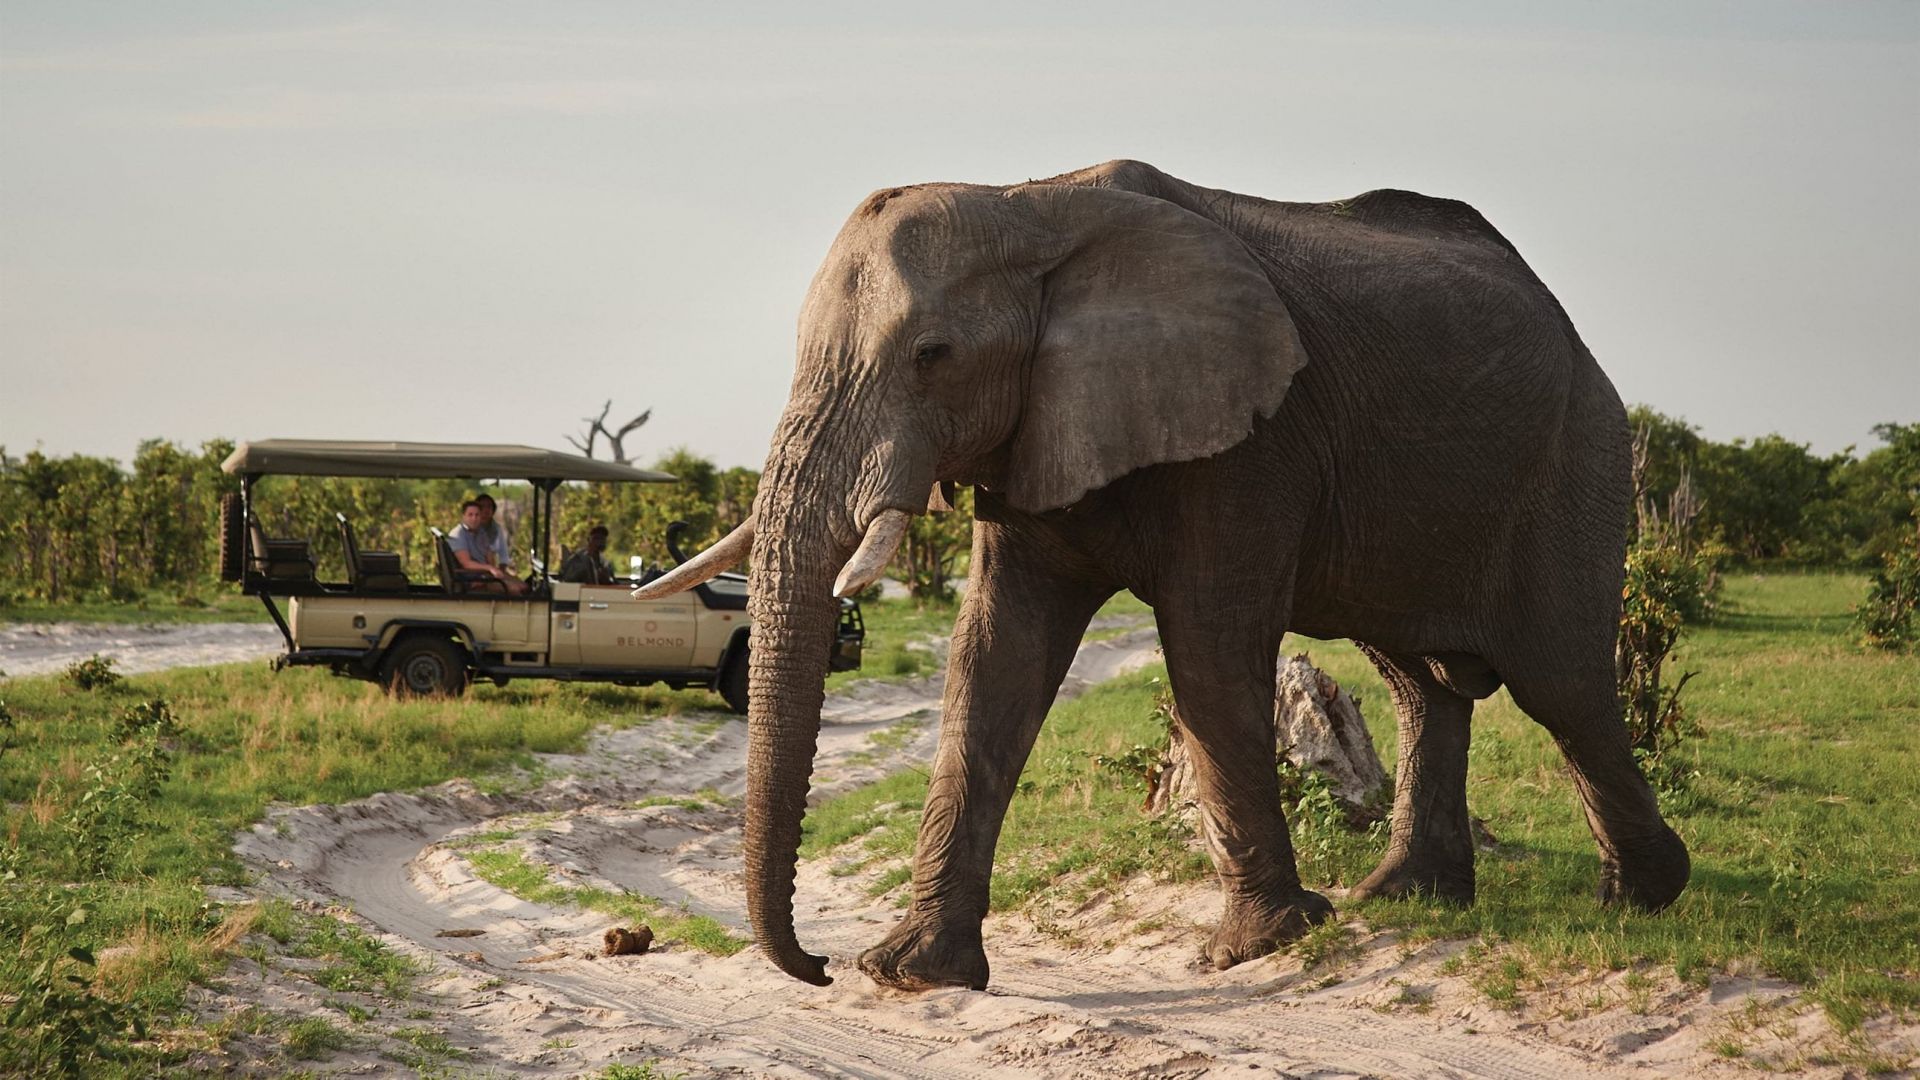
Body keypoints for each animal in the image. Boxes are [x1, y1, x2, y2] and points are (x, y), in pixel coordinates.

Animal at [638, 159, 1691, 991]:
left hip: (1582, 457)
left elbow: (1209, 649)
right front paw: (912, 973)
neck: (1029, 205)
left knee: (1562, 684)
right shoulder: (1038, 429)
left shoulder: (1251, 438)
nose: (817, 964)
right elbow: (994, 656)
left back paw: (1644, 899)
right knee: (1421, 681)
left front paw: (1259, 949)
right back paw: (1407, 898)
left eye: (932, 355)